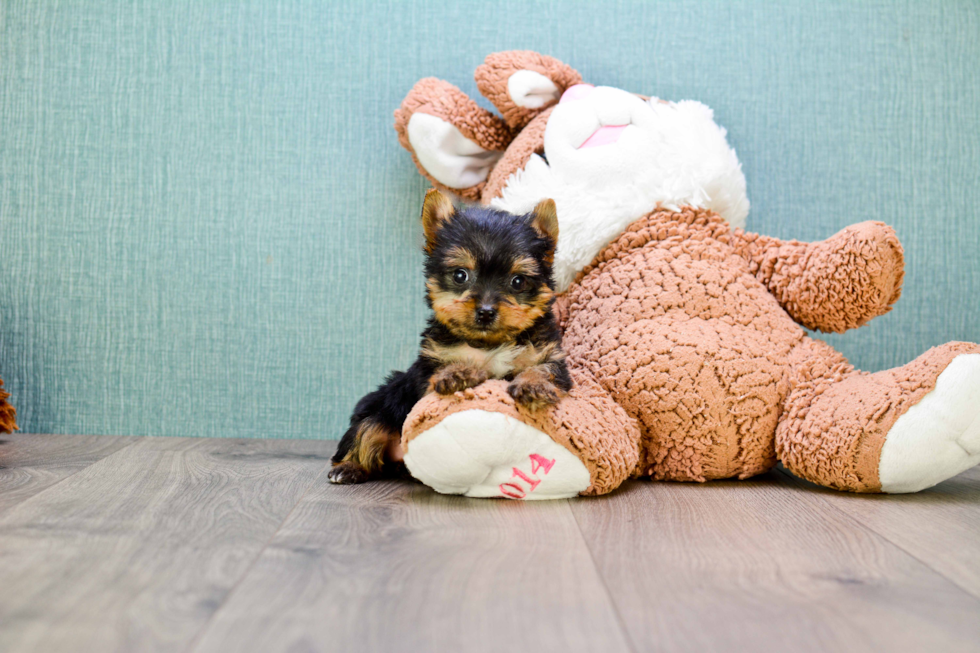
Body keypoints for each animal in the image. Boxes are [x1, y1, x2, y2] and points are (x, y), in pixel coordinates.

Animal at [330, 188, 572, 484]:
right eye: (460, 275)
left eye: (518, 281)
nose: (486, 311)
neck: (489, 344)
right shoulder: (427, 372)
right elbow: (440, 373)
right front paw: (458, 373)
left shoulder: (549, 354)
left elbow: (545, 369)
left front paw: (533, 384)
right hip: (378, 410)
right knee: (364, 431)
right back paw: (348, 467)